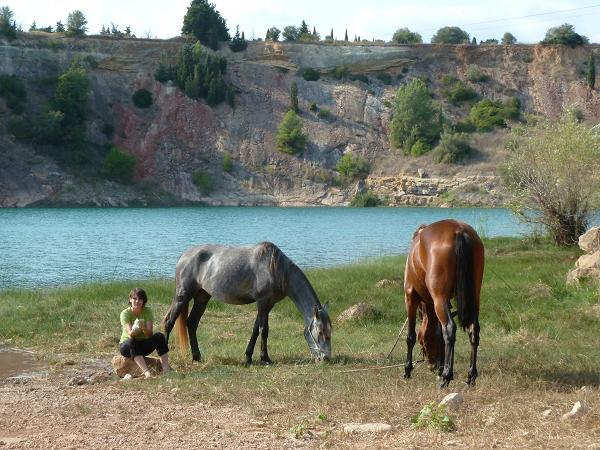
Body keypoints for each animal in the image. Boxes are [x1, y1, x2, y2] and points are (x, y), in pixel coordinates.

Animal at [163, 241, 332, 364]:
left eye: (330, 331)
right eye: (320, 332)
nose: (326, 358)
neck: (276, 269)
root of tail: (184, 256)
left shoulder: (268, 304)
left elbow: (256, 329)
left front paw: (249, 357)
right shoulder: (263, 302)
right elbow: (264, 330)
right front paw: (265, 359)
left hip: (202, 297)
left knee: (192, 323)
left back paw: (197, 357)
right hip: (183, 295)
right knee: (169, 322)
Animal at [404, 220, 482, 388]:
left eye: (424, 340)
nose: (432, 365)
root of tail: (459, 230)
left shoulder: (410, 297)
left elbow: (410, 336)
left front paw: (407, 370)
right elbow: (440, 334)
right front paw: (441, 367)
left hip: (439, 299)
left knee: (450, 329)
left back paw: (447, 377)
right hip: (473, 297)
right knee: (473, 330)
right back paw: (470, 376)